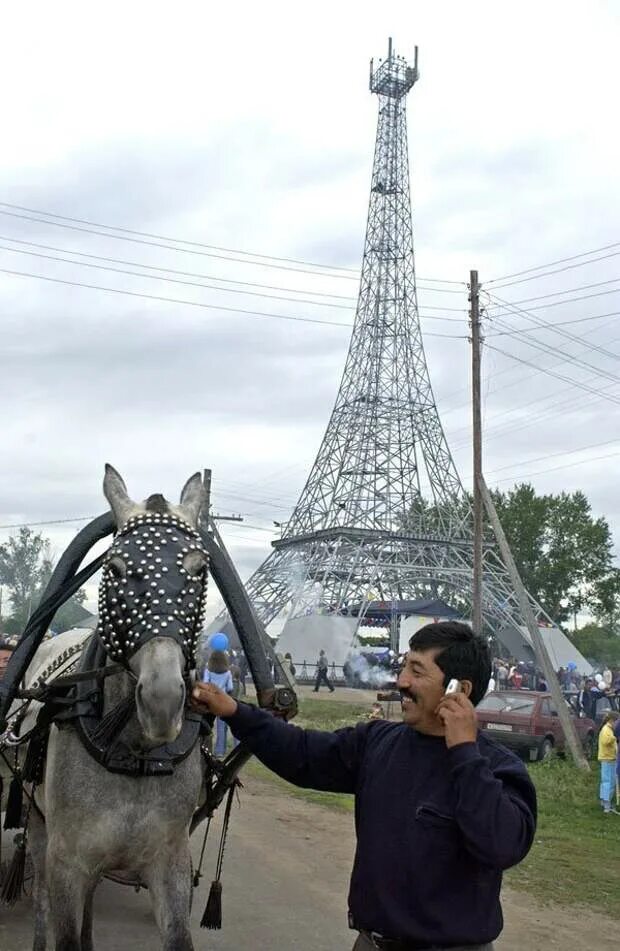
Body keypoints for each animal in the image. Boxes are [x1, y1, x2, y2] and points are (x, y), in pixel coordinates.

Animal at [27, 468, 208, 951]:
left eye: (200, 569)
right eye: (114, 568)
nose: (162, 701)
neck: (134, 753)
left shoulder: (171, 863)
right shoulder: (67, 862)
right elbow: (64, 931)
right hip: (38, 827)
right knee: (40, 898)